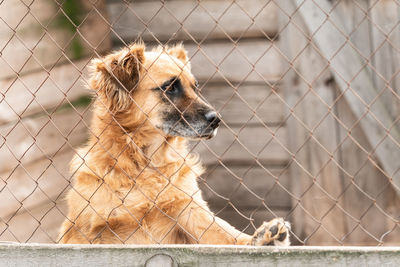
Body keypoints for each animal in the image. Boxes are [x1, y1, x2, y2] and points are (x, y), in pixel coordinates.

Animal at [58, 43, 290, 246]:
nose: (216, 119)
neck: (145, 165)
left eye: (195, 87)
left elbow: (229, 236)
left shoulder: (189, 210)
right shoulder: (90, 232)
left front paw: (262, 239)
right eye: (170, 87)